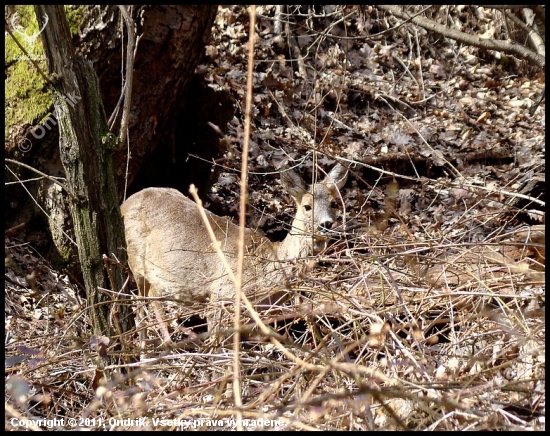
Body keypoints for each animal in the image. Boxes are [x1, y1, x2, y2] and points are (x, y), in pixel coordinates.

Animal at [123, 162, 352, 350]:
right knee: (143, 301)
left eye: (334, 203)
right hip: (136, 260)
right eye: (307, 206)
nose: (326, 224)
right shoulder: (221, 295)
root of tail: (125, 203)